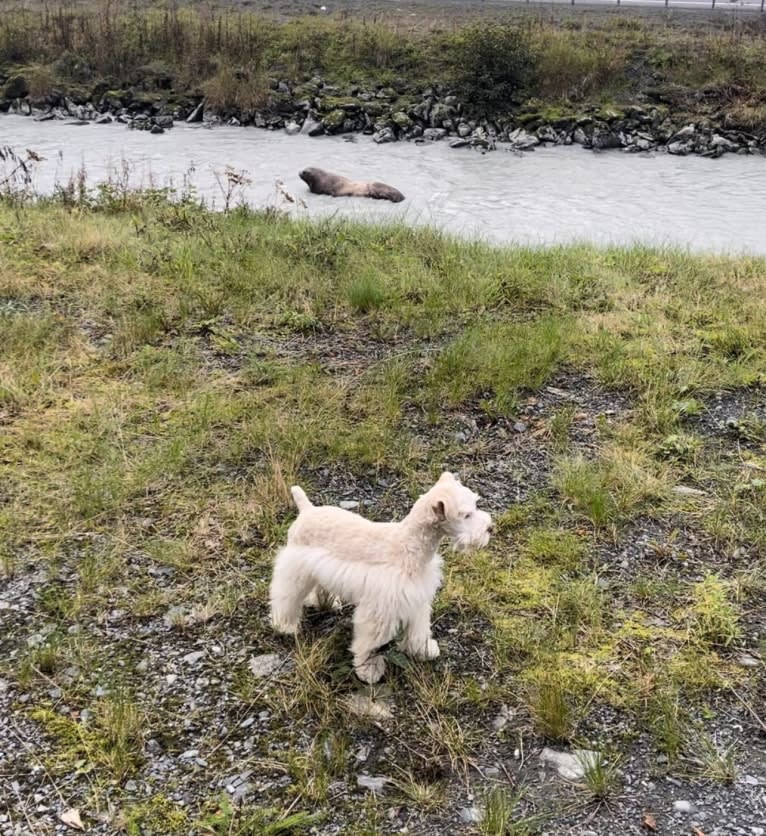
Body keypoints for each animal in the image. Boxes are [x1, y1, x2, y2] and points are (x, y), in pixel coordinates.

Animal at [268, 474, 492, 684]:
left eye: (475, 504)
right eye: (466, 515)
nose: (490, 528)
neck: (410, 546)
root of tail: (307, 509)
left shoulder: (417, 600)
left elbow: (419, 630)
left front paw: (423, 650)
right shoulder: (379, 611)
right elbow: (369, 644)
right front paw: (368, 670)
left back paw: (327, 603)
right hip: (294, 571)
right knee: (285, 598)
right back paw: (285, 626)